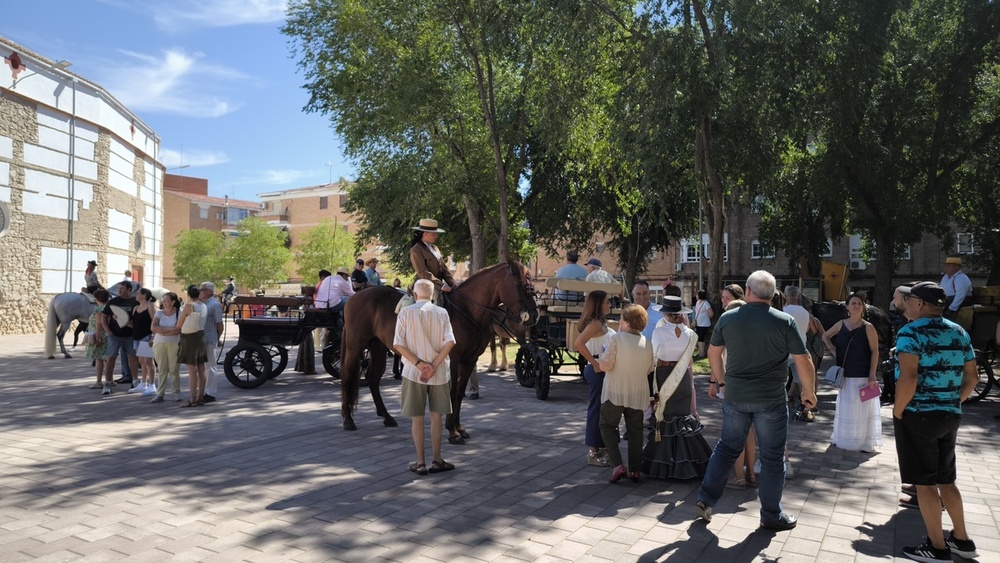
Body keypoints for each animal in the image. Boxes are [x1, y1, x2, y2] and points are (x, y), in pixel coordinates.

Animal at [340, 260, 540, 440]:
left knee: (373, 379)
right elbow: (452, 393)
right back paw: (348, 420)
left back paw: (386, 416)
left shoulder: (470, 360)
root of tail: (355, 297)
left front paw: (459, 428)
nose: (534, 316)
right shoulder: (453, 359)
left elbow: (459, 393)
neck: (466, 311)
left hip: (378, 348)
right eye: (521, 284)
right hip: (355, 346)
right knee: (348, 377)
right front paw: (452, 431)